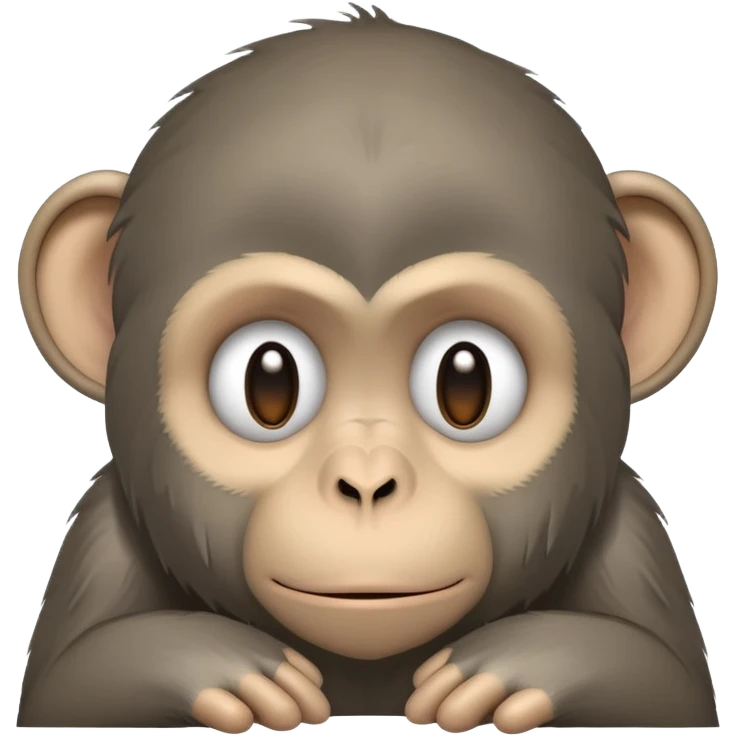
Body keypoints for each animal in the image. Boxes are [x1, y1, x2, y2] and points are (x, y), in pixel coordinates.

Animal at [15, 5, 720, 734]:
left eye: (466, 383)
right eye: (269, 383)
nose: (366, 482)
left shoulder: (632, 532)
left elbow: (666, 682)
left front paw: (512, 666)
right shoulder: (101, 531)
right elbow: (70, 683)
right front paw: (225, 666)